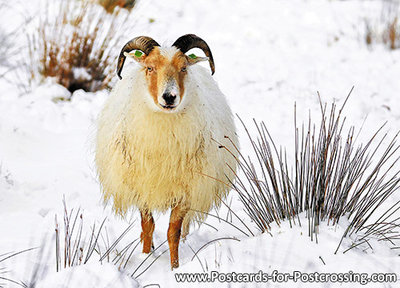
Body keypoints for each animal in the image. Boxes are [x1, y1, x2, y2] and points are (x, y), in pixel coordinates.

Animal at [95, 35, 239, 268]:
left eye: (183, 68)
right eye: (150, 67)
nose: (169, 97)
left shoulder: (186, 191)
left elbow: (173, 232)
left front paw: (174, 266)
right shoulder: (141, 188)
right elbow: (148, 227)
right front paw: (146, 256)